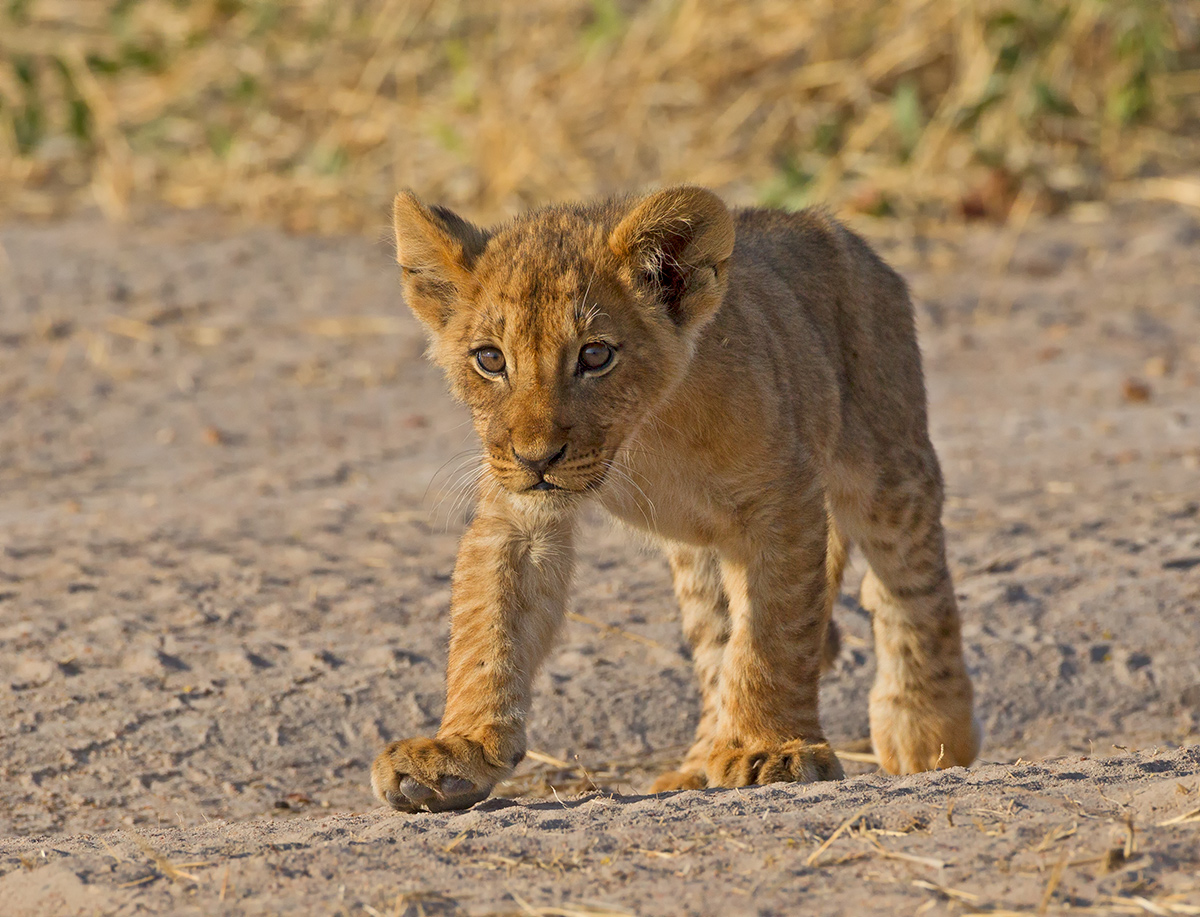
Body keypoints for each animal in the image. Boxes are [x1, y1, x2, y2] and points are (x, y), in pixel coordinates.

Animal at [371, 186, 980, 812]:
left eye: (595, 355)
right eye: (490, 360)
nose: (537, 459)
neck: (645, 433)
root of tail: (841, 235)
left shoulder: (782, 501)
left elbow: (774, 635)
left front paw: (772, 748)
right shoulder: (517, 511)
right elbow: (488, 629)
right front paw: (458, 749)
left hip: (887, 463)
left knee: (912, 585)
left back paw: (927, 730)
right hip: (698, 551)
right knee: (716, 643)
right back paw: (700, 761)